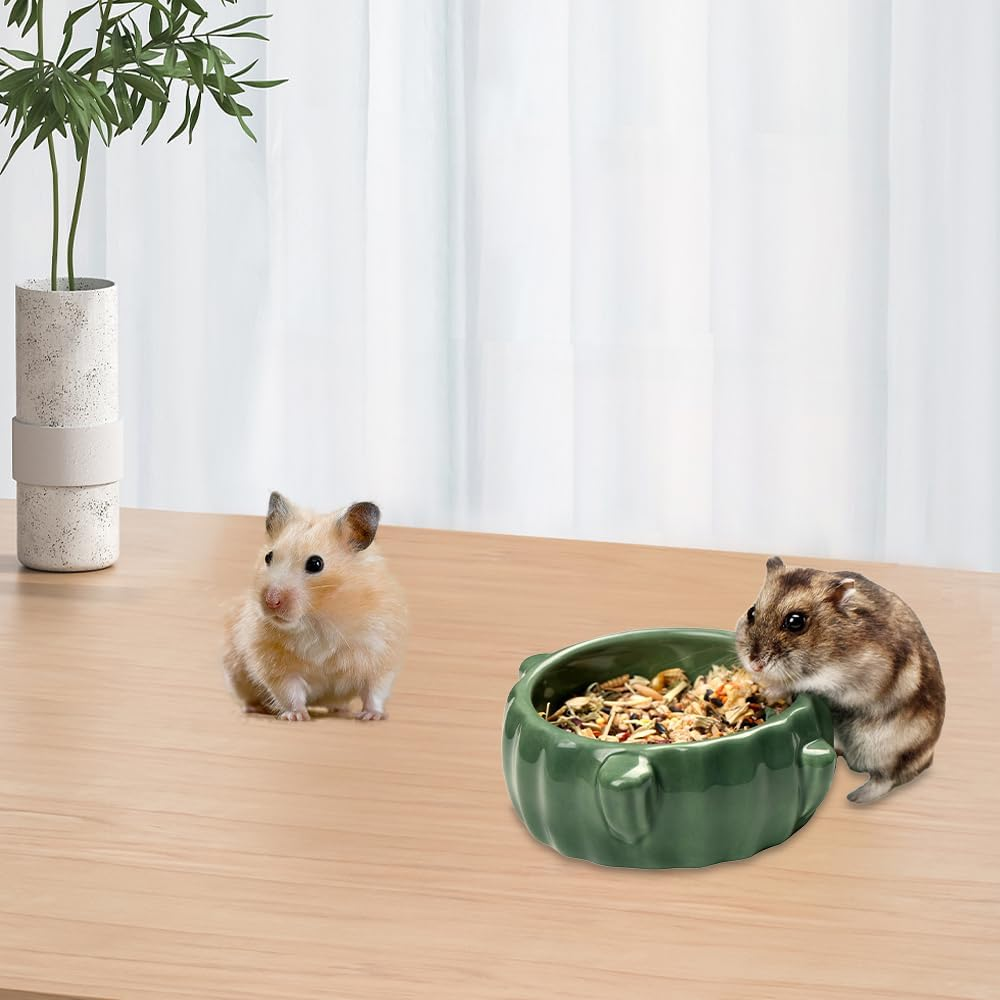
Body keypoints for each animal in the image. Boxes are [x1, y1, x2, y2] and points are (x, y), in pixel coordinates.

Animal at [223, 492, 407, 722]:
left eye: (315, 564)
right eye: (268, 557)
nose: (271, 600)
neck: (317, 617)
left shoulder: (379, 654)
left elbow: (374, 691)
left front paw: (371, 716)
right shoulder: (275, 664)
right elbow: (290, 691)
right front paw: (296, 716)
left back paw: (343, 710)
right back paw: (255, 709)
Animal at [734, 556, 945, 804]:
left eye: (795, 622)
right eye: (751, 612)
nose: (754, 664)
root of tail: (929, 755)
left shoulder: (856, 678)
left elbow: (805, 682)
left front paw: (769, 692)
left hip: (891, 750)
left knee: (890, 777)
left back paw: (855, 797)